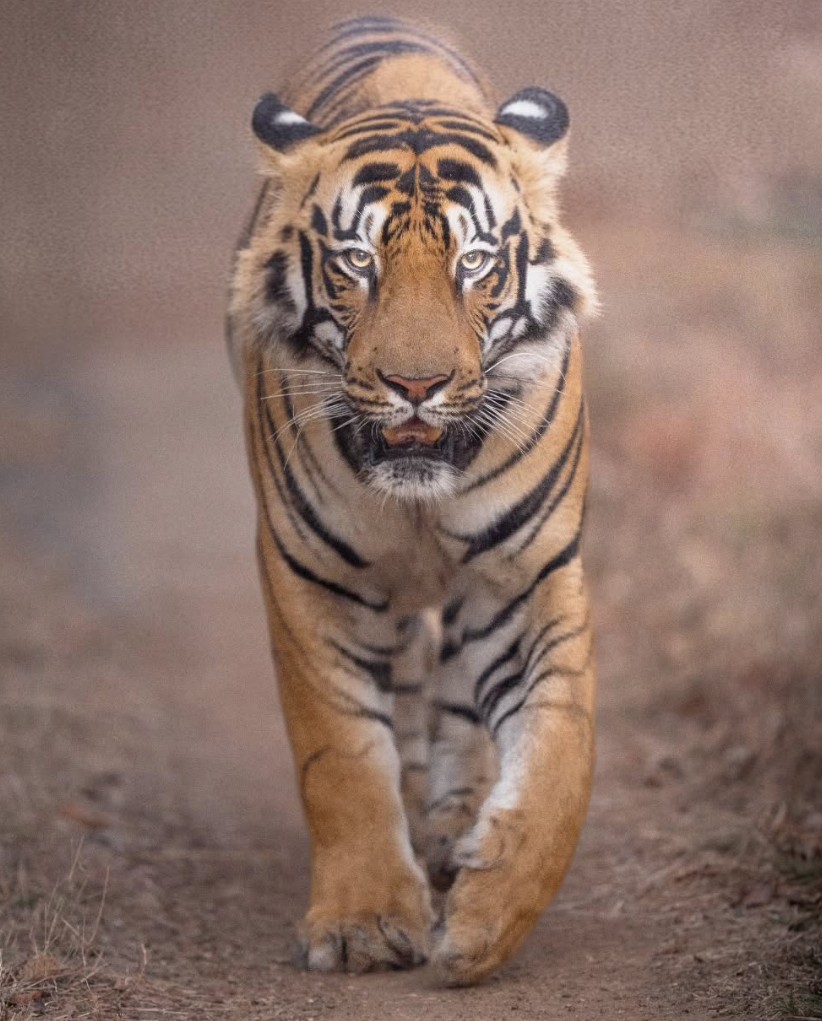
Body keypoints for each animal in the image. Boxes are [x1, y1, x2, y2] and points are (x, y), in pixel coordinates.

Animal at [226, 15, 597, 985]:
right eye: (358, 261)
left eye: (475, 262)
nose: (418, 385)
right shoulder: (309, 578)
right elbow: (343, 755)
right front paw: (363, 924)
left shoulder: (524, 577)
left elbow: (563, 751)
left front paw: (486, 919)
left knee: (461, 703)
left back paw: (454, 823)